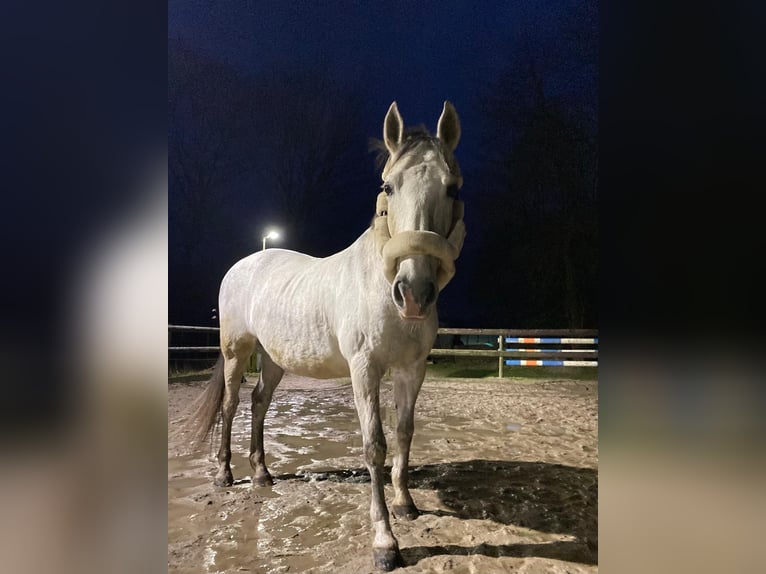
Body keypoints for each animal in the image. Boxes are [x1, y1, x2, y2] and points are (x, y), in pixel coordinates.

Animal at [190, 101, 468, 572]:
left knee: (259, 403)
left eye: (451, 188)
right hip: (236, 352)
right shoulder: (364, 369)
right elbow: (374, 445)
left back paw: (261, 474)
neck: (381, 284)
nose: (413, 293)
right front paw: (385, 542)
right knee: (230, 406)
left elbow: (405, 433)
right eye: (388, 187)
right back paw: (225, 474)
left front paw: (405, 503)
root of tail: (242, 265)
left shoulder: (412, 369)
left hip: (273, 358)